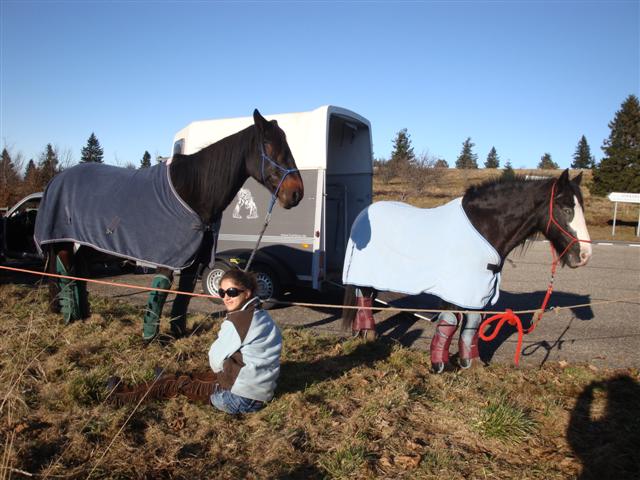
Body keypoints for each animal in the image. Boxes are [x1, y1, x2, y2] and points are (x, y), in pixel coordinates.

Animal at [33, 109, 304, 342]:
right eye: (268, 145)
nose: (296, 193)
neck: (193, 191)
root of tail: (56, 179)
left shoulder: (193, 259)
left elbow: (184, 293)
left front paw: (177, 333)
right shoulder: (169, 256)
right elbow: (161, 292)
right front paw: (150, 338)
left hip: (88, 243)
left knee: (78, 273)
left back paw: (82, 316)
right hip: (64, 241)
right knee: (66, 272)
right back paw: (70, 317)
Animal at [342, 169, 592, 372]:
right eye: (566, 208)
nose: (584, 255)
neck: (483, 227)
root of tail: (364, 212)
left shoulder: (478, 290)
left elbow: (472, 324)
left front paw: (470, 362)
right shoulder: (454, 290)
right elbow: (450, 322)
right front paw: (439, 364)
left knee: (365, 298)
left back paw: (363, 333)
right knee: (364, 298)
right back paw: (368, 334)